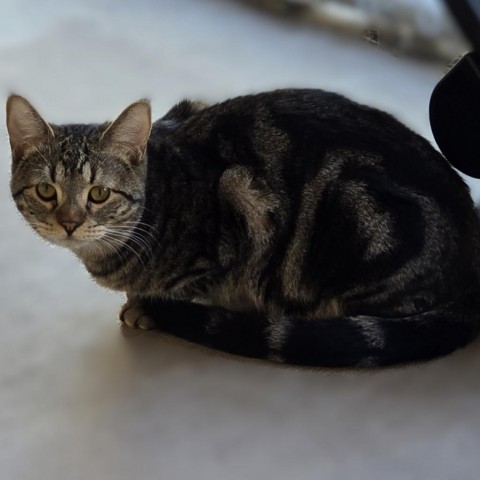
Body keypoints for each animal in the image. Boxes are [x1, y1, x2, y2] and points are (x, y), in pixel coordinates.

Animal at [6, 89, 480, 368]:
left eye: (99, 194)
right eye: (46, 191)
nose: (69, 223)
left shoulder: (241, 203)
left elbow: (188, 286)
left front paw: (147, 306)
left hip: (361, 217)